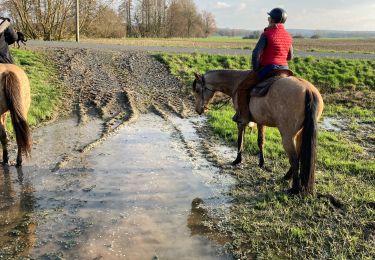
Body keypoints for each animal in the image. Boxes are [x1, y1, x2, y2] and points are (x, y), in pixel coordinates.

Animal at [192, 70, 324, 194]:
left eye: (197, 90)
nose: (198, 110)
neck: (236, 82)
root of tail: (308, 90)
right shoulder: (261, 122)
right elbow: (261, 141)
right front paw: (261, 162)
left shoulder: (241, 122)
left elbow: (240, 140)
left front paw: (237, 160)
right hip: (300, 133)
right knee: (299, 154)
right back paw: (287, 176)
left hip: (287, 136)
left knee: (294, 159)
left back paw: (294, 188)